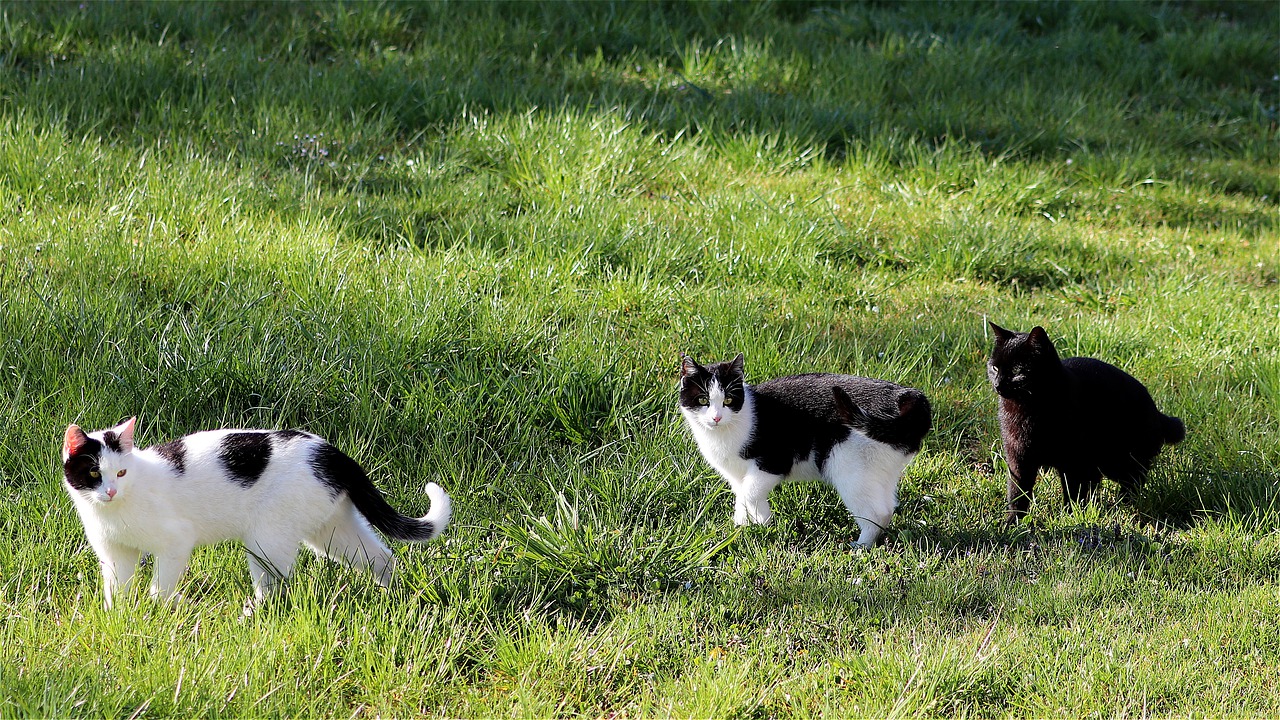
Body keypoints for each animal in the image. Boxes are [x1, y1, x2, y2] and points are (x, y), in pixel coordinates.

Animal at [61, 415, 450, 609]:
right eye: (94, 474)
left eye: (121, 473)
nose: (110, 491)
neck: (114, 513)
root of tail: (331, 451)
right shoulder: (116, 554)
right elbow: (118, 591)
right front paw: (121, 618)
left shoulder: (175, 543)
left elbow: (160, 589)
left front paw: (163, 608)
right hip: (331, 531)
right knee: (383, 557)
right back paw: (393, 597)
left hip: (267, 541)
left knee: (273, 590)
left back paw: (251, 614)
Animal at [680, 353, 931, 543]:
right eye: (703, 400)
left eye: (729, 401)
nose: (716, 417)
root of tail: (910, 396)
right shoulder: (736, 474)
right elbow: (742, 495)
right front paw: (746, 526)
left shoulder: (774, 461)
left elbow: (750, 493)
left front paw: (761, 522)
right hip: (881, 469)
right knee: (888, 506)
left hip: (850, 467)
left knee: (877, 512)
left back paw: (861, 546)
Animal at [983, 320, 1182, 520]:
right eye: (995, 368)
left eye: (1017, 371)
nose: (998, 385)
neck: (1028, 408)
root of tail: (1156, 412)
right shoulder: (1018, 458)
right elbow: (1017, 493)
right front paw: (1013, 522)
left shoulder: (1073, 461)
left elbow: (1073, 491)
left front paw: (1069, 517)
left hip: (1117, 459)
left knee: (1134, 479)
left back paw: (1122, 504)